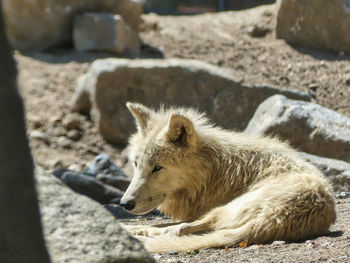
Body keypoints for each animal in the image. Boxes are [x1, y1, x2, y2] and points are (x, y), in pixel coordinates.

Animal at [120, 102, 336, 253]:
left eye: (157, 168)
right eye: (136, 164)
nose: (125, 204)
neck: (216, 170)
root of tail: (278, 218)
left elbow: (163, 225)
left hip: (225, 209)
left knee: (180, 229)